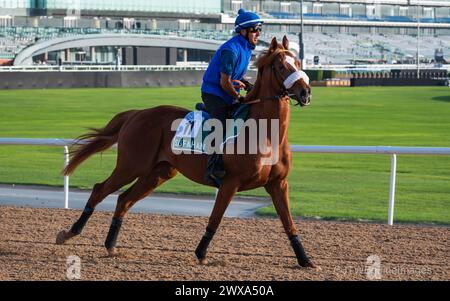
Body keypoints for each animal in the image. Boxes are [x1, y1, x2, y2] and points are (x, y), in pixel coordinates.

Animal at [56, 35, 316, 268]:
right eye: (281, 66)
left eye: (298, 62)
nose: (305, 93)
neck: (265, 133)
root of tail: (136, 114)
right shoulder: (230, 182)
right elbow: (215, 218)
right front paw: (201, 253)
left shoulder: (278, 184)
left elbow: (289, 223)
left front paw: (305, 259)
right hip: (131, 166)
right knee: (100, 190)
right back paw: (70, 233)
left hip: (157, 173)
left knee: (123, 199)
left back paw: (110, 245)